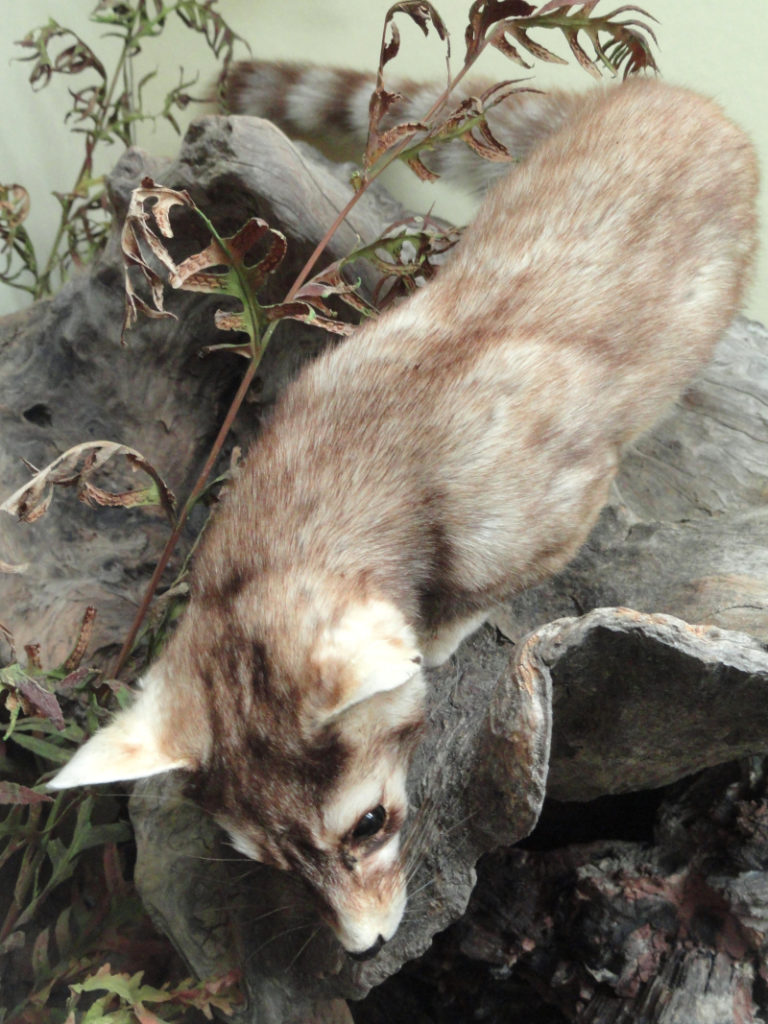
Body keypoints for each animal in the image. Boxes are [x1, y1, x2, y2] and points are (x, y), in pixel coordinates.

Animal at [49, 68, 765, 962]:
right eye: (265, 859)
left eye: (371, 824)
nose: (362, 949)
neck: (340, 473)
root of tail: (662, 94)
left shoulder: (545, 500)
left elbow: (497, 576)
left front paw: (443, 631)